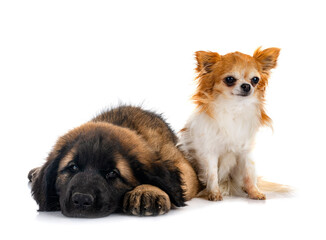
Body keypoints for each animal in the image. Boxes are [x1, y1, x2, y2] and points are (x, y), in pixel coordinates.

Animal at [178, 47, 280, 201]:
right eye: (230, 79)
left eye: (255, 79)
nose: (246, 86)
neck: (234, 108)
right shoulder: (209, 153)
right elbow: (212, 174)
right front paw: (214, 193)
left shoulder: (245, 152)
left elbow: (249, 174)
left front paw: (254, 192)